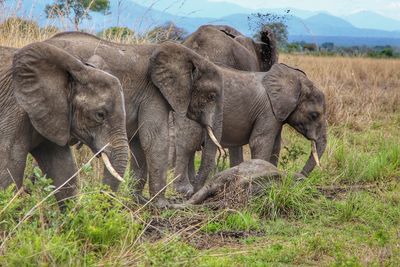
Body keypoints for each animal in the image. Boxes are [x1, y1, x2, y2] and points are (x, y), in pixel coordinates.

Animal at [44, 31, 225, 207]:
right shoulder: (153, 92)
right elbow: (154, 139)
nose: (190, 194)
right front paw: (161, 205)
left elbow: (139, 142)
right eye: (211, 96)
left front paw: (138, 200)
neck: (189, 55)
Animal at [173, 63, 326, 196]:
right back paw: (185, 189)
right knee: (188, 144)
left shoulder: (277, 115)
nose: (300, 177)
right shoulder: (267, 110)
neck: (295, 81)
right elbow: (259, 142)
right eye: (314, 115)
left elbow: (276, 145)